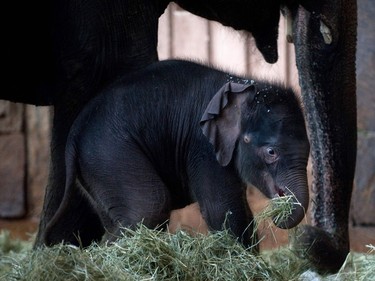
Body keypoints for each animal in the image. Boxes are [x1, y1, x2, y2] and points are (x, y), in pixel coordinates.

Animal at [44, 58, 308, 245]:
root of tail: (75, 133)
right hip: (108, 154)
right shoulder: (202, 146)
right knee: (148, 207)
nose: (277, 212)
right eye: (271, 152)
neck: (244, 85)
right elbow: (221, 208)